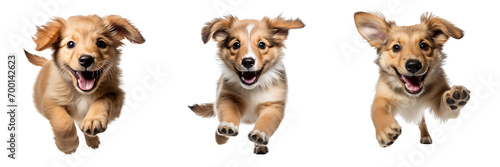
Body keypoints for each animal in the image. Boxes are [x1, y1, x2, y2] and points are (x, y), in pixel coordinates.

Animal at [24, 15, 145, 153]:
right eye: (70, 44)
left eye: (101, 43)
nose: (86, 60)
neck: (82, 94)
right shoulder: (49, 101)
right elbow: (63, 122)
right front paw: (68, 145)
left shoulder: (117, 97)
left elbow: (102, 98)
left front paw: (93, 120)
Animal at [188, 15, 302, 154]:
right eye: (236, 45)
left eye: (262, 44)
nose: (248, 61)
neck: (252, 88)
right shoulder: (227, 96)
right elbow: (228, 112)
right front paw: (226, 128)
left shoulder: (273, 105)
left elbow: (266, 121)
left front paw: (259, 134)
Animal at [354, 12, 470, 147]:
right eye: (396, 47)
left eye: (424, 45)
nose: (413, 65)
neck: (411, 97)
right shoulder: (381, 97)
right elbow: (377, 110)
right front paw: (384, 129)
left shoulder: (439, 102)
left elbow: (445, 105)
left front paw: (454, 97)